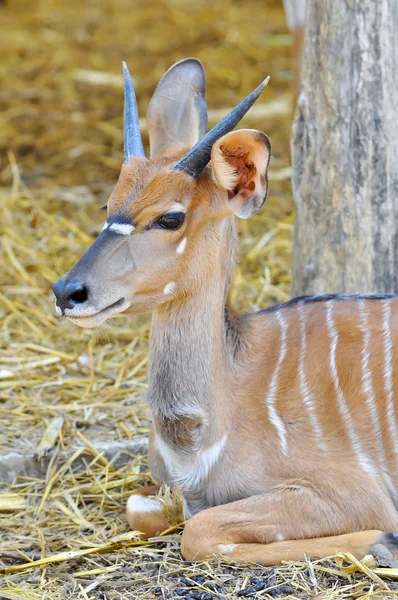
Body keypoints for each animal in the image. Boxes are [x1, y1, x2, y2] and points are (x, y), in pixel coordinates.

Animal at [53, 58, 398, 564]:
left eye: (170, 217)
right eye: (107, 204)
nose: (67, 291)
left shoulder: (357, 492)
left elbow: (198, 531)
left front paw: (382, 542)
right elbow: (145, 510)